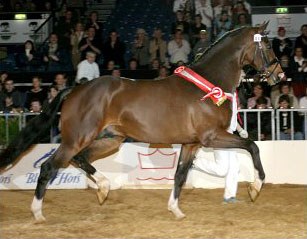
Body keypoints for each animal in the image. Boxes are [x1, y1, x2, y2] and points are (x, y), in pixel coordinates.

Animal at [0, 22, 286, 222]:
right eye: (267, 46)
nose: (280, 75)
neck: (208, 84)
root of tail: (75, 88)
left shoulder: (192, 143)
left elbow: (180, 174)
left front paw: (175, 210)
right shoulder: (211, 137)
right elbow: (252, 146)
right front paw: (255, 187)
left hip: (110, 139)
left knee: (80, 159)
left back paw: (103, 188)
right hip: (77, 138)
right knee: (49, 166)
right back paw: (38, 212)